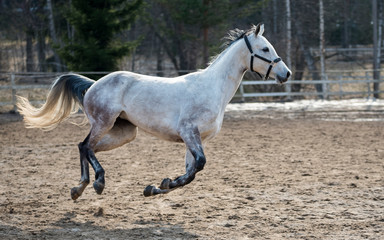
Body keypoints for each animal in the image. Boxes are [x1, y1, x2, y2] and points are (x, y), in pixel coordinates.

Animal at [15, 23, 292, 200]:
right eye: (265, 49)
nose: (286, 74)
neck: (212, 89)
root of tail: (94, 84)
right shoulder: (189, 132)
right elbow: (198, 166)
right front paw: (163, 184)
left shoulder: (194, 139)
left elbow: (191, 172)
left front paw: (158, 186)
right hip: (103, 123)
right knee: (85, 146)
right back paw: (97, 182)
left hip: (125, 133)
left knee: (86, 147)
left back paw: (79, 188)